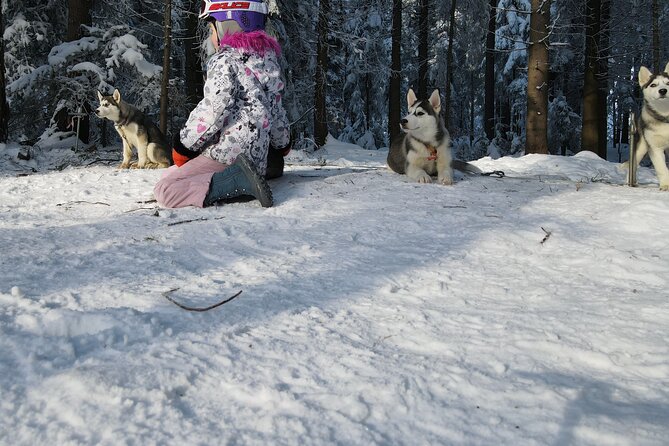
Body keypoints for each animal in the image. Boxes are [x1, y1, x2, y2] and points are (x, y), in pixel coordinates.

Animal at [628, 61, 668, 189]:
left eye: (668, 83)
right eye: (653, 85)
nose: (663, 91)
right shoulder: (654, 146)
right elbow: (661, 167)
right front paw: (666, 185)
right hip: (640, 146)